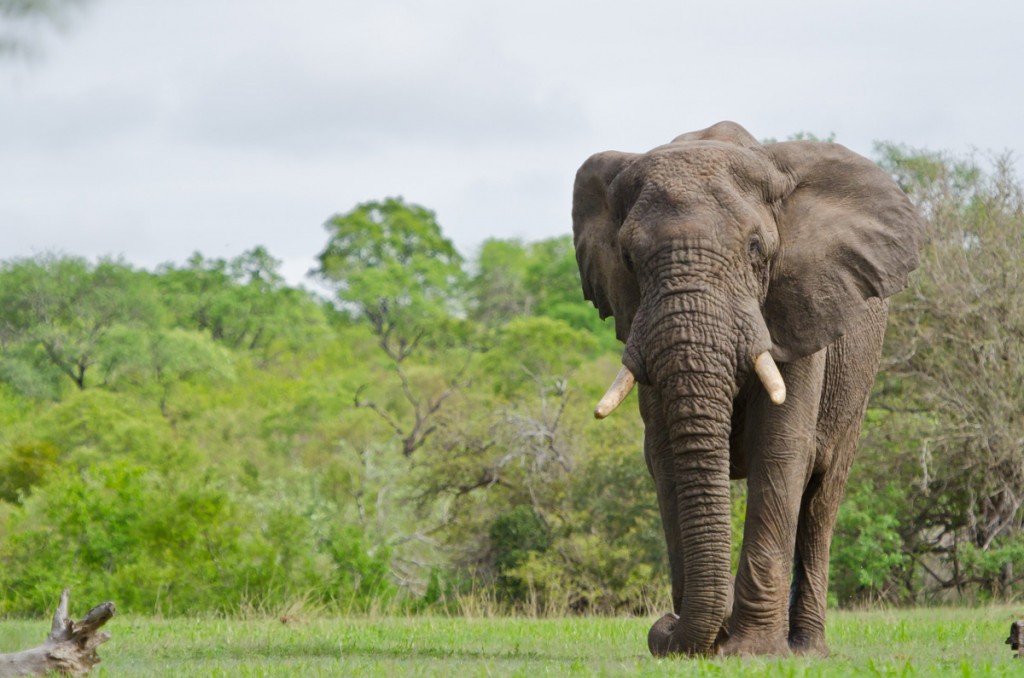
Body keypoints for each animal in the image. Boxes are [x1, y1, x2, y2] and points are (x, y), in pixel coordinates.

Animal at [573, 122, 925, 659]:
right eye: (628, 258)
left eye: (756, 248)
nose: (662, 628)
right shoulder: (642, 327)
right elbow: (665, 456)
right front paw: (706, 643)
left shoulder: (800, 309)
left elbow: (780, 450)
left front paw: (752, 651)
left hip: (859, 385)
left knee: (823, 502)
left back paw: (807, 649)